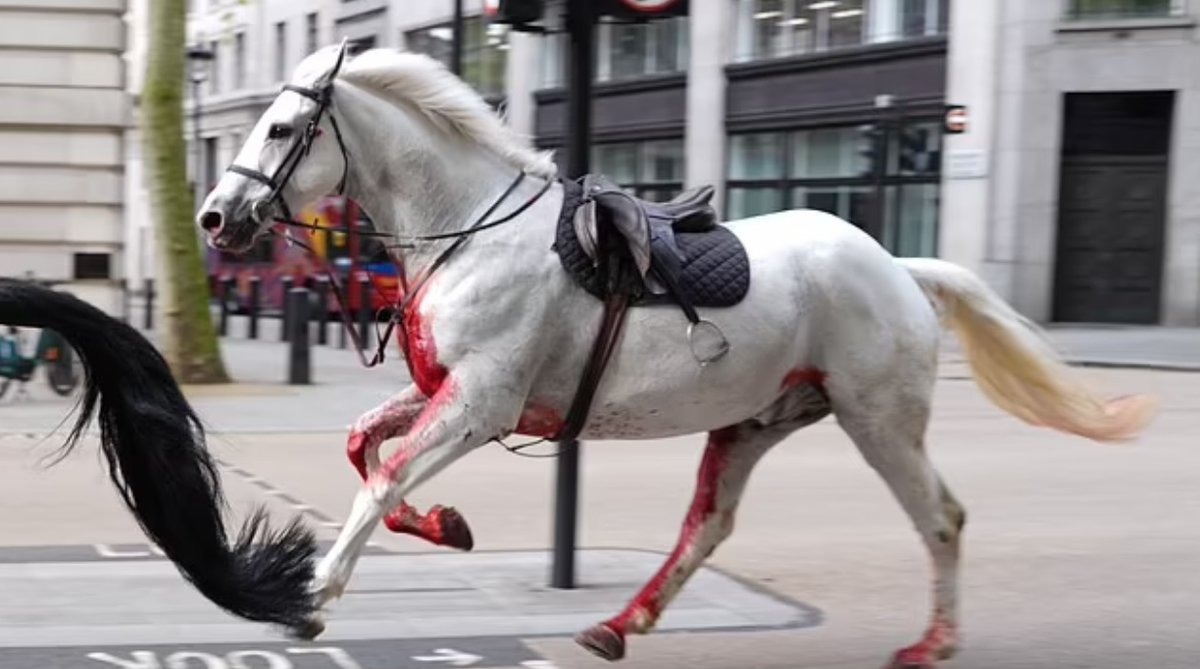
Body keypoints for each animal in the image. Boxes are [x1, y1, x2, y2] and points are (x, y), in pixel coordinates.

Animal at [192, 43, 1158, 668]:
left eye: (280, 128)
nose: (213, 216)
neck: (470, 230)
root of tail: (897, 266)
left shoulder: (479, 403)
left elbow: (383, 479)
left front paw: (312, 599)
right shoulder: (451, 393)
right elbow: (363, 447)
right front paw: (446, 526)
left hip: (878, 419)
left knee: (942, 518)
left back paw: (934, 641)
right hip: (756, 421)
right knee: (709, 525)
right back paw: (621, 622)